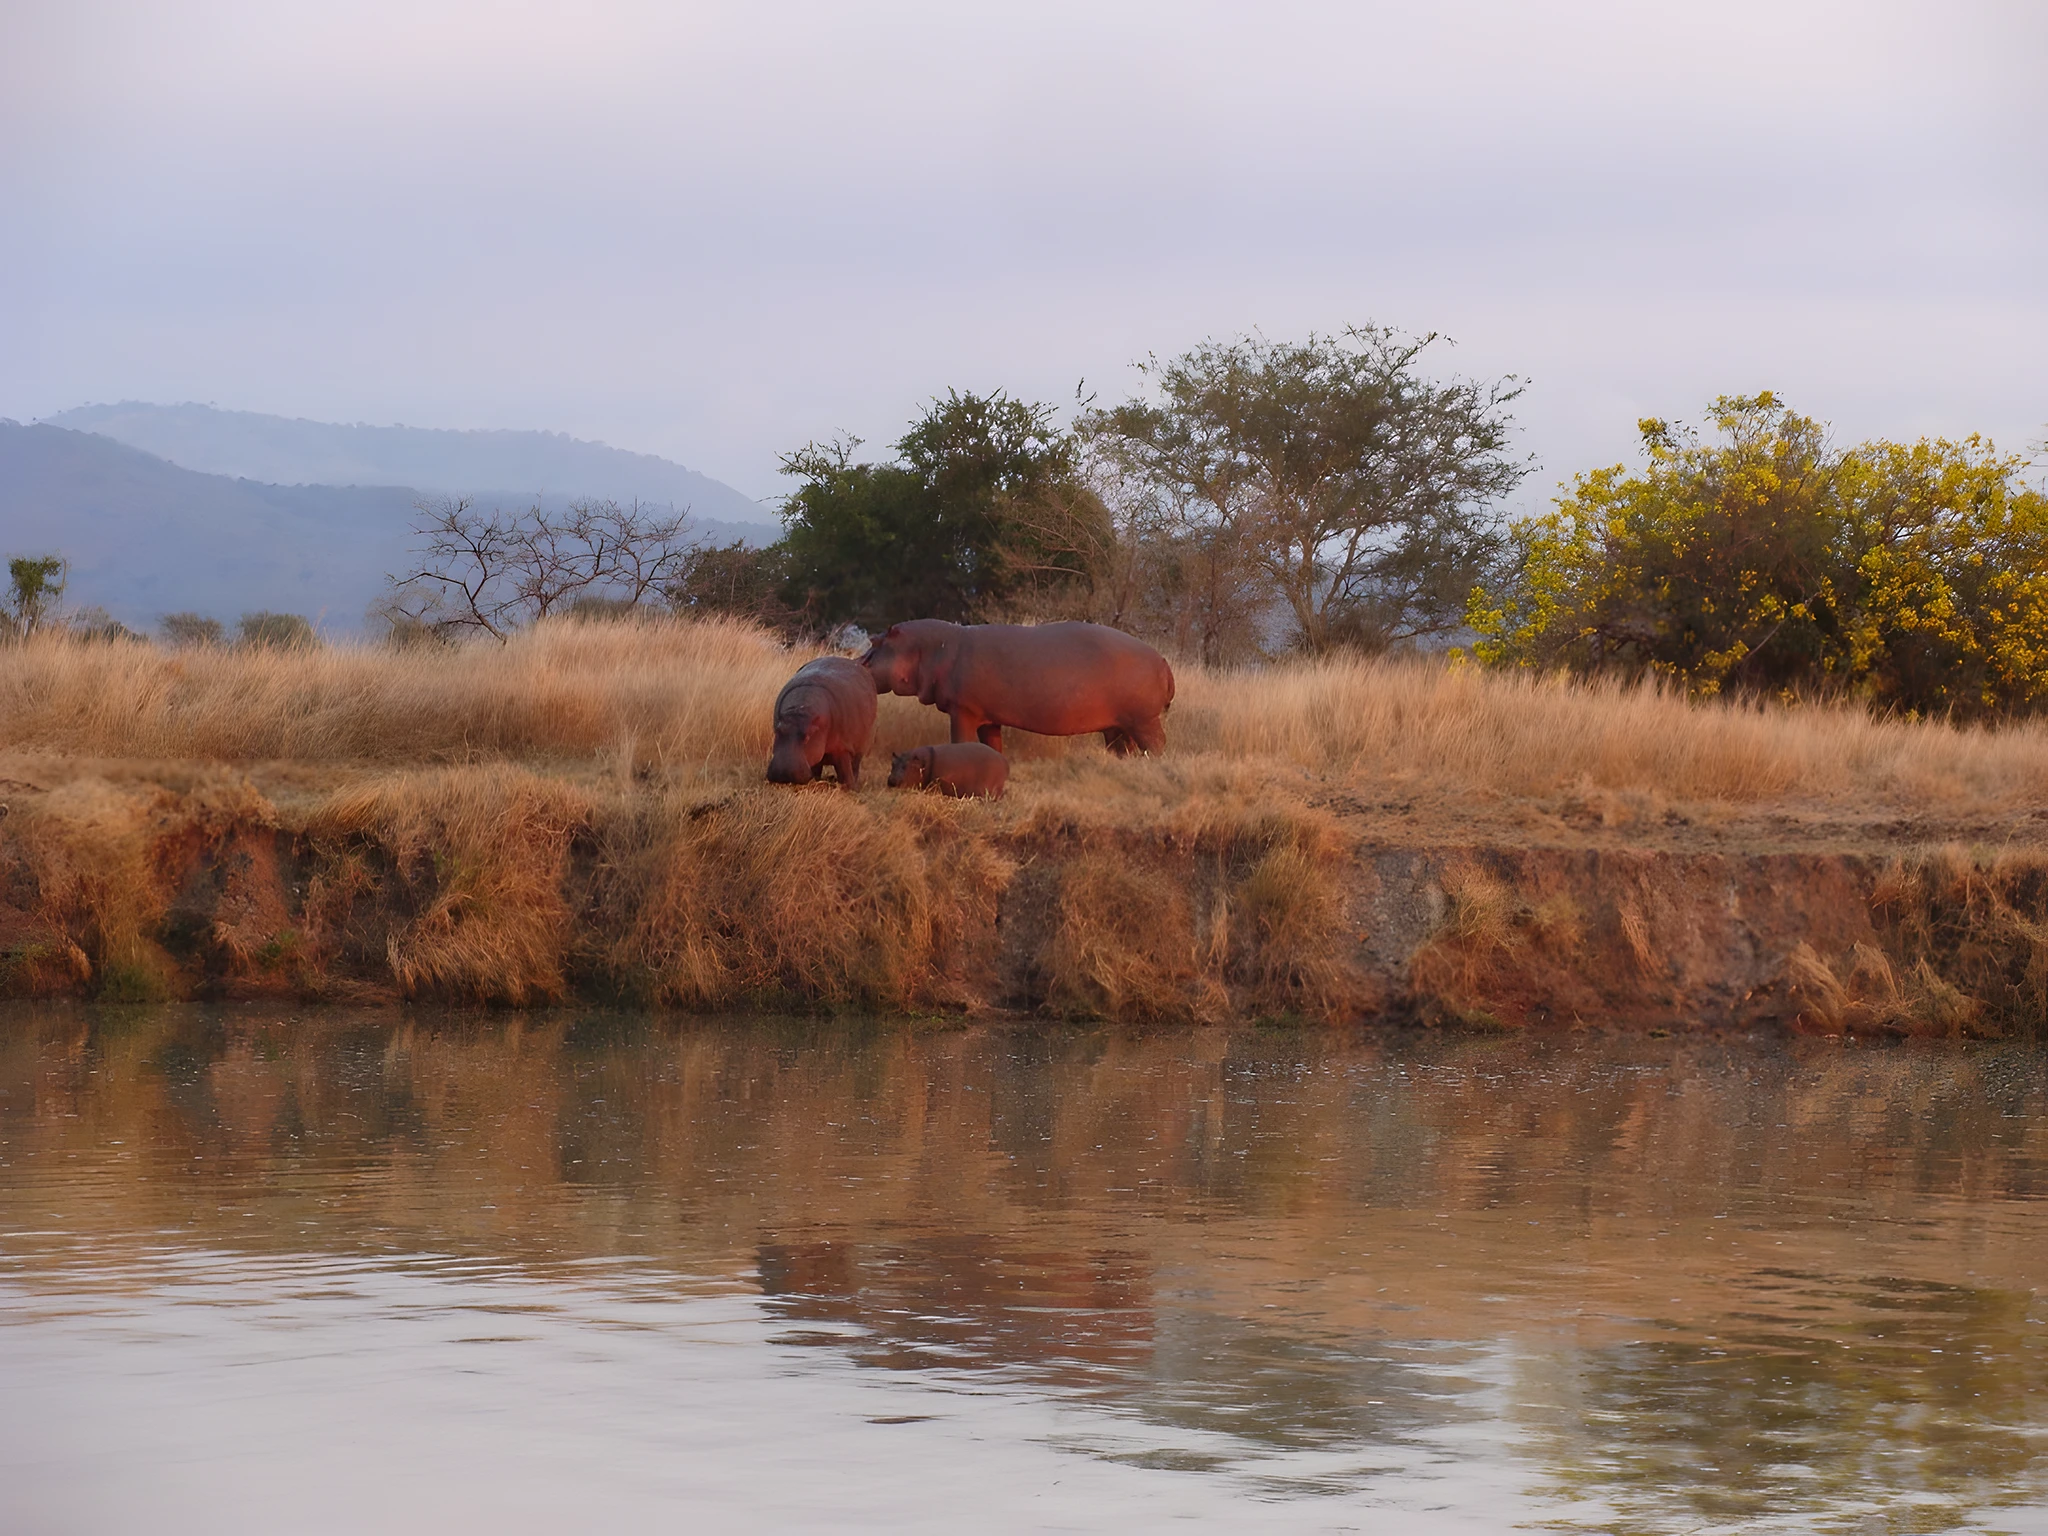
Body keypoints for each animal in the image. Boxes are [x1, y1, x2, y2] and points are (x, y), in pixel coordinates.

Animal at [761, 651, 872, 786]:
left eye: (807, 737)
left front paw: (849, 787)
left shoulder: (842, 748)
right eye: (777, 731)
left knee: (855, 765)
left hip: (860, 747)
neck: (800, 709)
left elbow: (845, 772)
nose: (783, 774)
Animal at [856, 618, 1171, 753]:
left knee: (1157, 744)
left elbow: (961, 739)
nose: (856, 662)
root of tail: (1162, 660)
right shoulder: (987, 717)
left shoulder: (963, 710)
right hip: (1119, 725)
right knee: (1125, 747)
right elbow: (993, 744)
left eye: (876, 642)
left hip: (1144, 721)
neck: (931, 649)